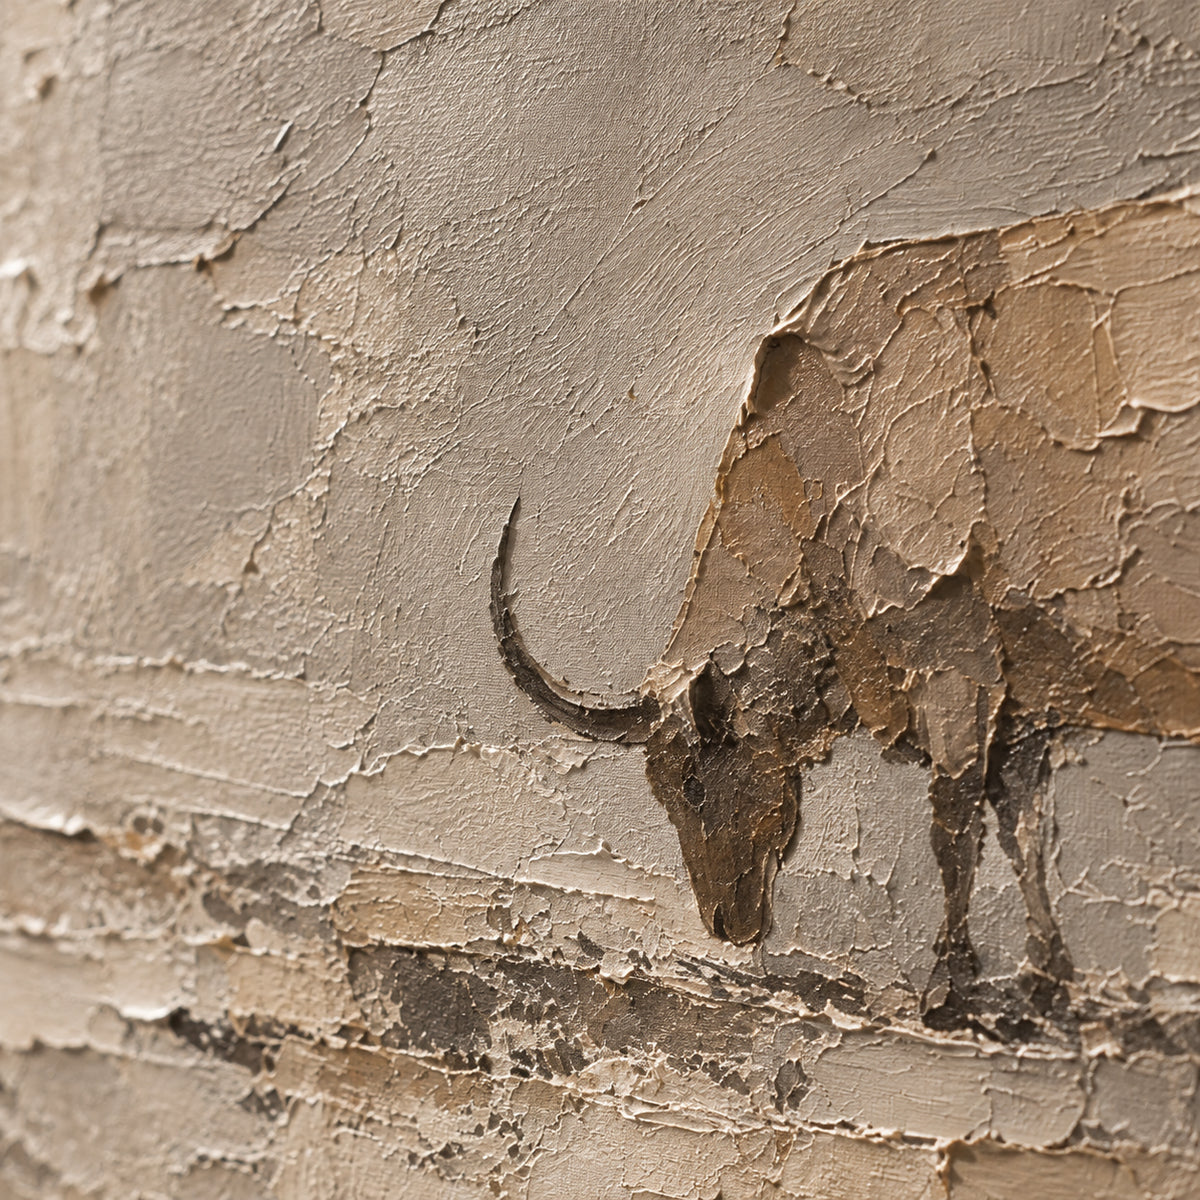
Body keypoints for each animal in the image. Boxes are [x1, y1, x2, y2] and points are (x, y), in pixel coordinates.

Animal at [491, 192, 1200, 1028]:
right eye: (659, 791)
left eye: (693, 781)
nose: (725, 922)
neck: (831, 452)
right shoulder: (1025, 699)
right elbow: (1023, 826)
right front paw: (1047, 982)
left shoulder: (954, 667)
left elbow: (954, 824)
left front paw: (947, 987)